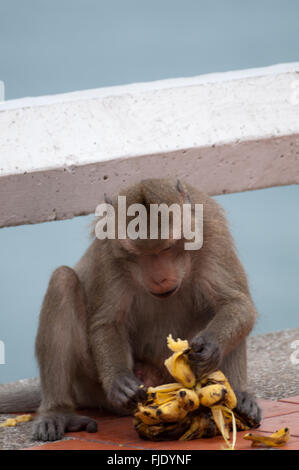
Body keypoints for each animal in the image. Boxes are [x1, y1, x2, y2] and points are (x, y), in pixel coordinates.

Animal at [0, 179, 262, 440]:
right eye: (139, 254)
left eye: (167, 248)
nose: (159, 278)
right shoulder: (109, 249)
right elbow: (108, 322)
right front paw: (119, 379)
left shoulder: (212, 233)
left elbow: (235, 303)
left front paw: (209, 346)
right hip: (91, 383)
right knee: (62, 281)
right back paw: (58, 412)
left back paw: (239, 399)